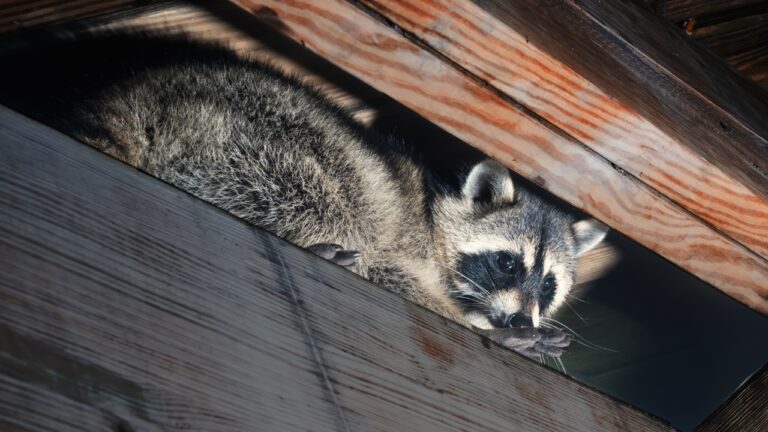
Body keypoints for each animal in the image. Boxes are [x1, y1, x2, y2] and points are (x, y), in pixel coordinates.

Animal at [0, 34, 607, 357]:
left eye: (548, 284)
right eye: (506, 263)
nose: (520, 322)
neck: (434, 215)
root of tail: (132, 95)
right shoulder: (401, 240)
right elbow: (391, 272)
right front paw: (481, 328)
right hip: (253, 137)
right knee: (324, 193)